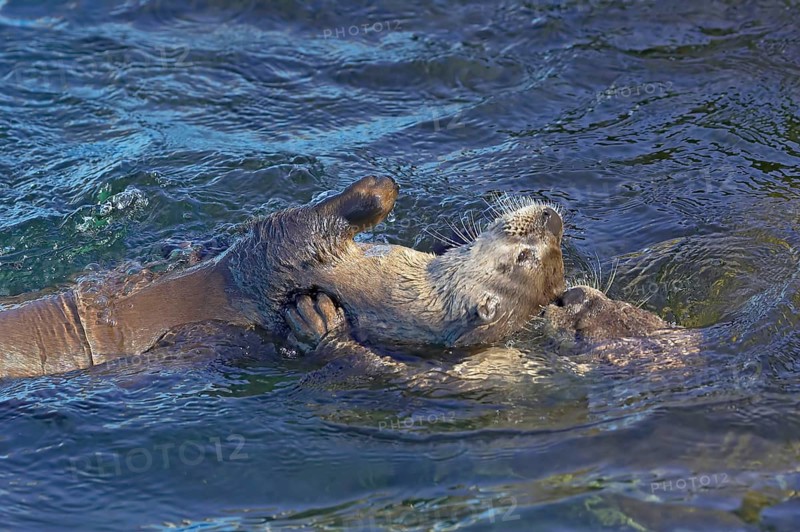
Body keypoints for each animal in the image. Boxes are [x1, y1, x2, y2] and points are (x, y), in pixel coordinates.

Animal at [0, 176, 565, 378]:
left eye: (524, 256)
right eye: (544, 253)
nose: (552, 220)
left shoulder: (282, 253)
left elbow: (311, 220)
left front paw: (379, 187)